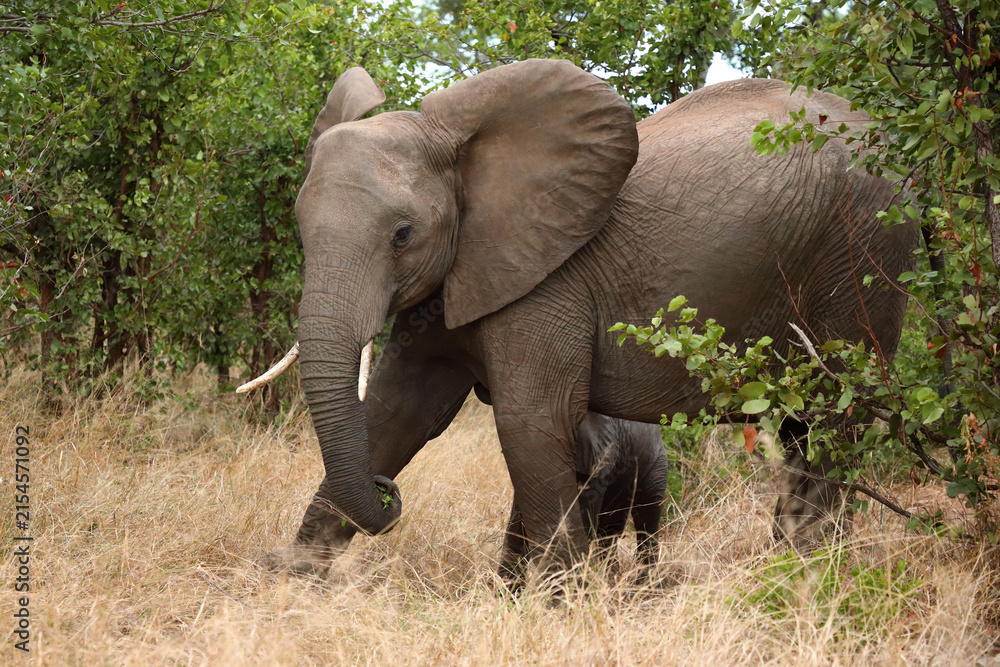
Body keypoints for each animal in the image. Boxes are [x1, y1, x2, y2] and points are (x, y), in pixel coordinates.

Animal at [473, 385, 670, 584]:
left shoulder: (599, 459)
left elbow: (582, 520)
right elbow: (520, 521)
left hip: (656, 465)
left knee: (647, 520)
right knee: (610, 532)